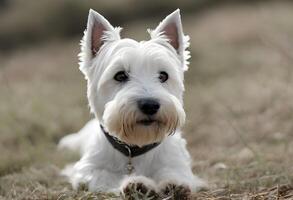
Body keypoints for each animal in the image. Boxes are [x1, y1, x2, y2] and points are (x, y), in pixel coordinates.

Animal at [58, 8, 205, 199]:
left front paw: (174, 185)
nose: (150, 105)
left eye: (163, 75)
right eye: (120, 75)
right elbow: (106, 176)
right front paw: (136, 184)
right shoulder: (87, 170)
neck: (134, 148)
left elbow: (173, 172)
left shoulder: (177, 162)